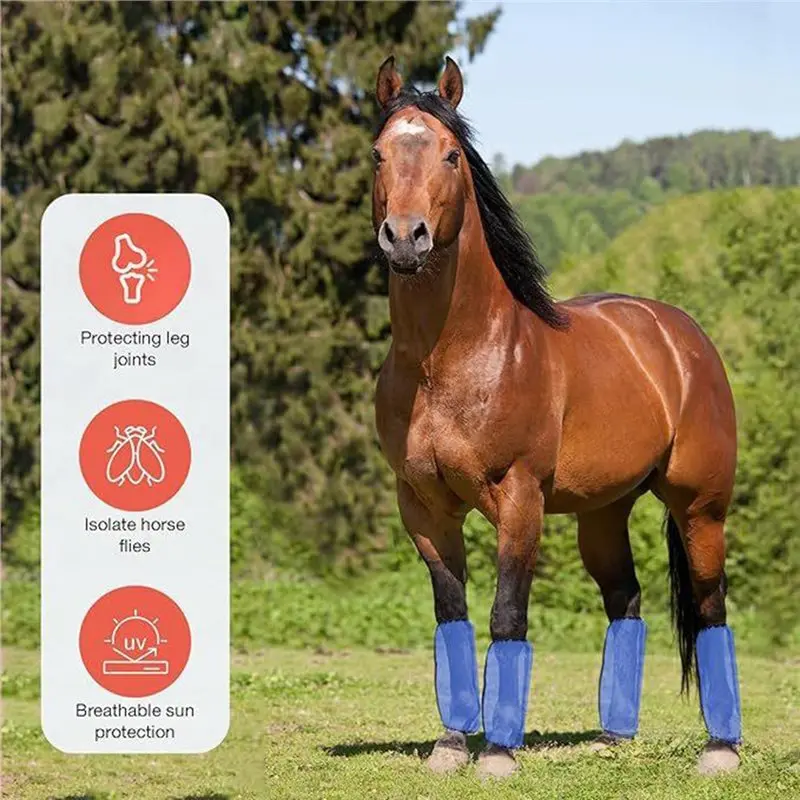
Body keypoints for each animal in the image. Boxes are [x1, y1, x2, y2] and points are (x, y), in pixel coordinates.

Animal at [371, 56, 742, 779]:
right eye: (377, 154)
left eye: (452, 154)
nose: (405, 238)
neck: (450, 361)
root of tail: (681, 335)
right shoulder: (423, 508)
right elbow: (451, 616)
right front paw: (451, 746)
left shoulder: (520, 499)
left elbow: (506, 615)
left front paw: (498, 755)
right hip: (603, 513)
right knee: (625, 599)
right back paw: (613, 737)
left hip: (700, 507)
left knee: (711, 604)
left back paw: (721, 750)